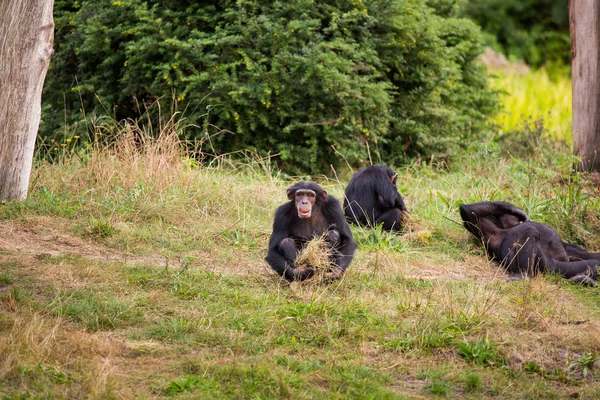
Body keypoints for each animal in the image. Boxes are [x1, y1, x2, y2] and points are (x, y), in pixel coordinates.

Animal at [460, 203, 600, 284]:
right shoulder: (490, 231)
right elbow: (469, 211)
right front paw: (517, 210)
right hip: (545, 265)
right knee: (530, 231)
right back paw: (523, 275)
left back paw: (581, 278)